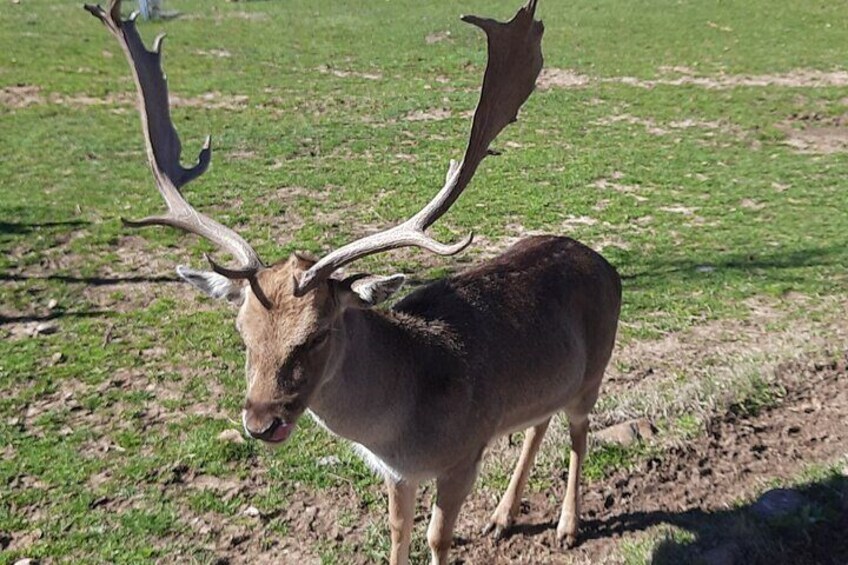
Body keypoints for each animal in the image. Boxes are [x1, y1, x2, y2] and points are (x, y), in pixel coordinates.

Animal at [86, 2, 624, 560]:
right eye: (241, 333)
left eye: (317, 333)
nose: (260, 422)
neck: (402, 430)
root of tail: (603, 263)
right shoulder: (396, 474)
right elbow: (397, 533)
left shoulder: (464, 456)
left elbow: (437, 538)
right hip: (554, 383)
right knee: (539, 422)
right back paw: (501, 517)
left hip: (595, 373)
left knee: (579, 433)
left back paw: (567, 526)